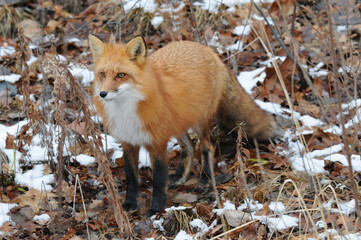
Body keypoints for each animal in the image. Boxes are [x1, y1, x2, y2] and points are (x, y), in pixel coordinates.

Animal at [88, 34, 278, 216]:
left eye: (121, 75)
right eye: (102, 74)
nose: (102, 93)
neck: (127, 110)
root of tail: (207, 50)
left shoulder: (158, 143)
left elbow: (158, 180)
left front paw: (156, 208)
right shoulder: (128, 142)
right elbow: (131, 179)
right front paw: (130, 204)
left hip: (200, 122)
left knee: (208, 146)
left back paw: (205, 179)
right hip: (178, 123)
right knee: (190, 146)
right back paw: (180, 175)